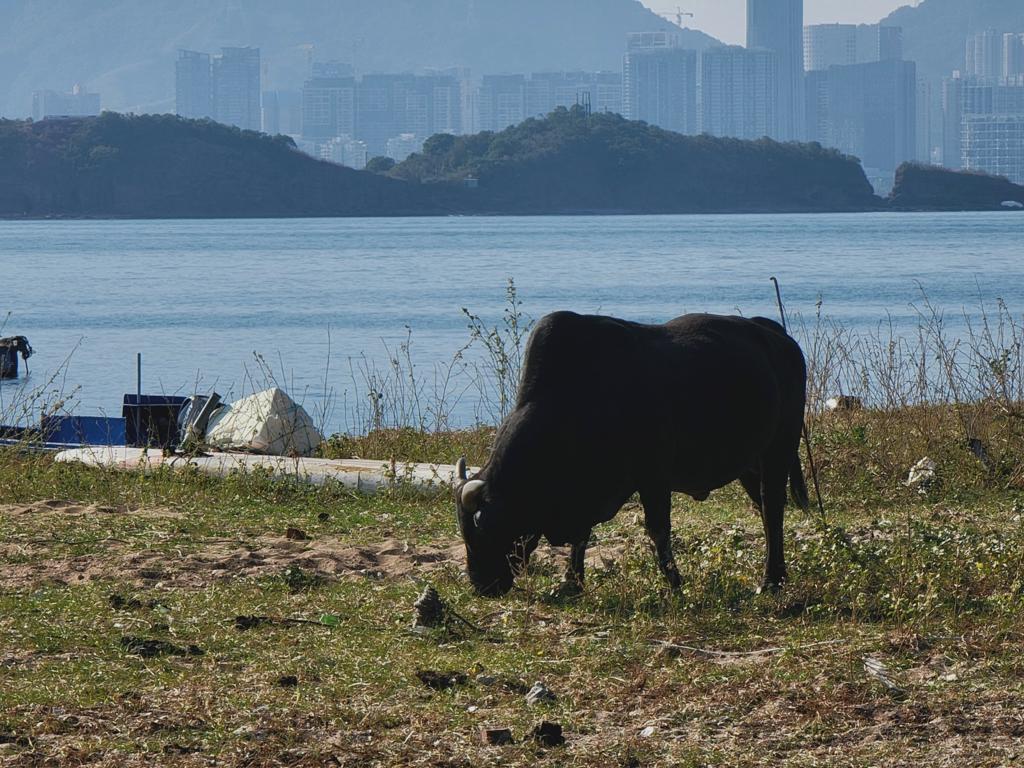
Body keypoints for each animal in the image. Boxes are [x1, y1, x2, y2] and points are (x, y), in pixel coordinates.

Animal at [454, 309, 806, 598]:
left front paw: (675, 583)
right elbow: (582, 537)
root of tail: (778, 337)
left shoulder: (655, 478)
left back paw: (771, 580)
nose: (481, 586)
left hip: (779, 450)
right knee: (764, 512)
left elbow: (658, 530)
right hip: (750, 465)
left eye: (483, 525)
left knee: (773, 509)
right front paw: (572, 582)